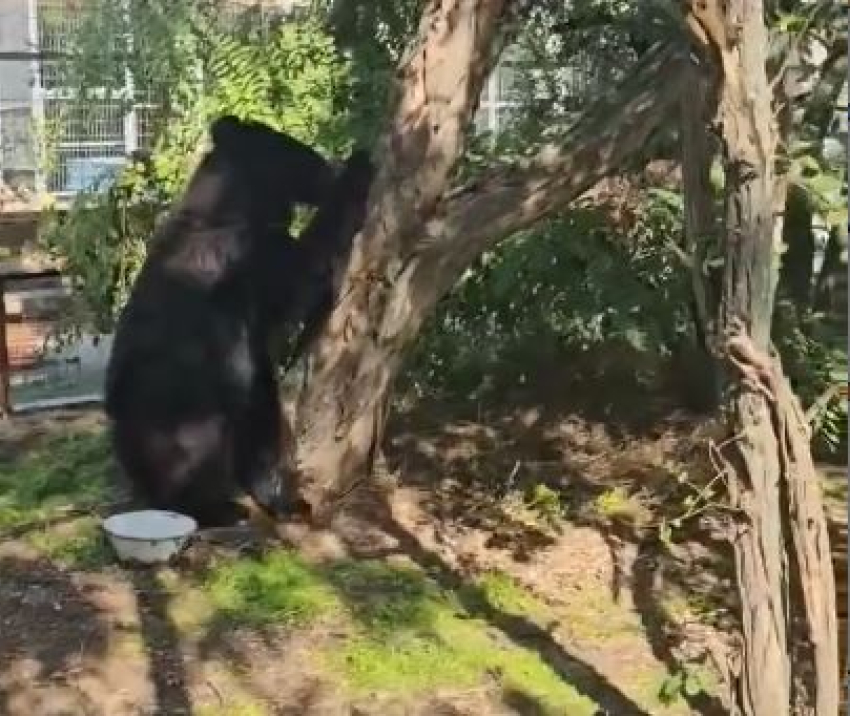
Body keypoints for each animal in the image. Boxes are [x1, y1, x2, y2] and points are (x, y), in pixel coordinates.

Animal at [104, 115, 373, 528]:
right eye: (299, 152)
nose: (329, 166)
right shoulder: (247, 259)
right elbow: (301, 275)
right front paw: (360, 168)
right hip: (183, 415)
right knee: (202, 450)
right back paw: (217, 507)